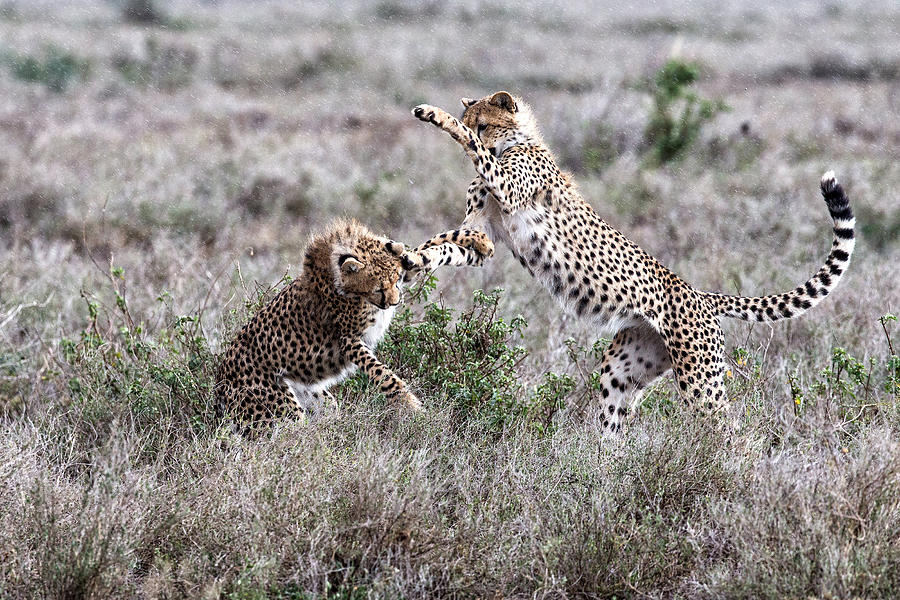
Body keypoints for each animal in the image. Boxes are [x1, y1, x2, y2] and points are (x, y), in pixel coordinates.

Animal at [218, 218, 496, 428]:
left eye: (396, 280)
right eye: (378, 289)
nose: (395, 303)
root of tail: (220, 378)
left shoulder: (407, 268)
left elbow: (433, 243)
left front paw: (478, 241)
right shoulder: (349, 341)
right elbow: (384, 374)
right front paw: (410, 405)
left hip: (315, 396)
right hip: (281, 409)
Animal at [404, 91, 856, 434]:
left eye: (483, 123)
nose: (474, 128)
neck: (515, 144)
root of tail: (700, 295)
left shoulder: (507, 189)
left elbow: (474, 151)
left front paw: (436, 116)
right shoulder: (481, 237)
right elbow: (443, 245)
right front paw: (407, 259)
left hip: (700, 380)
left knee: (731, 430)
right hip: (625, 368)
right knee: (614, 420)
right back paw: (599, 468)